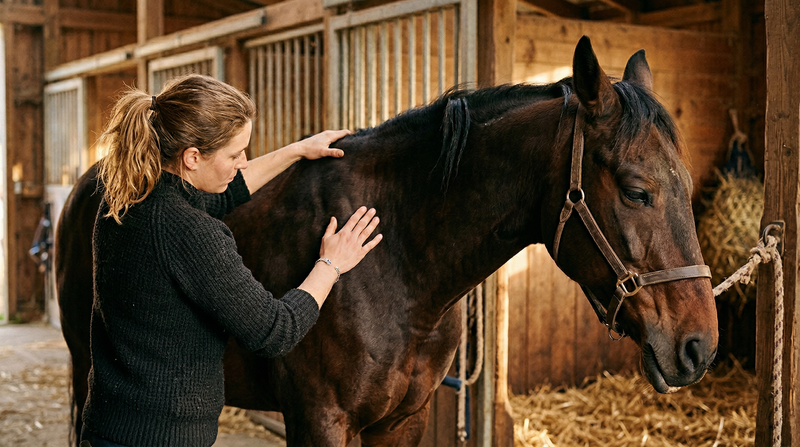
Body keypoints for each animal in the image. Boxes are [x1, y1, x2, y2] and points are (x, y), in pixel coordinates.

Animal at [57, 36, 718, 446]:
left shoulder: (404, 421)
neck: (400, 264)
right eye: (636, 191)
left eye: (687, 185)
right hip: (87, 368)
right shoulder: (319, 422)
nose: (698, 348)